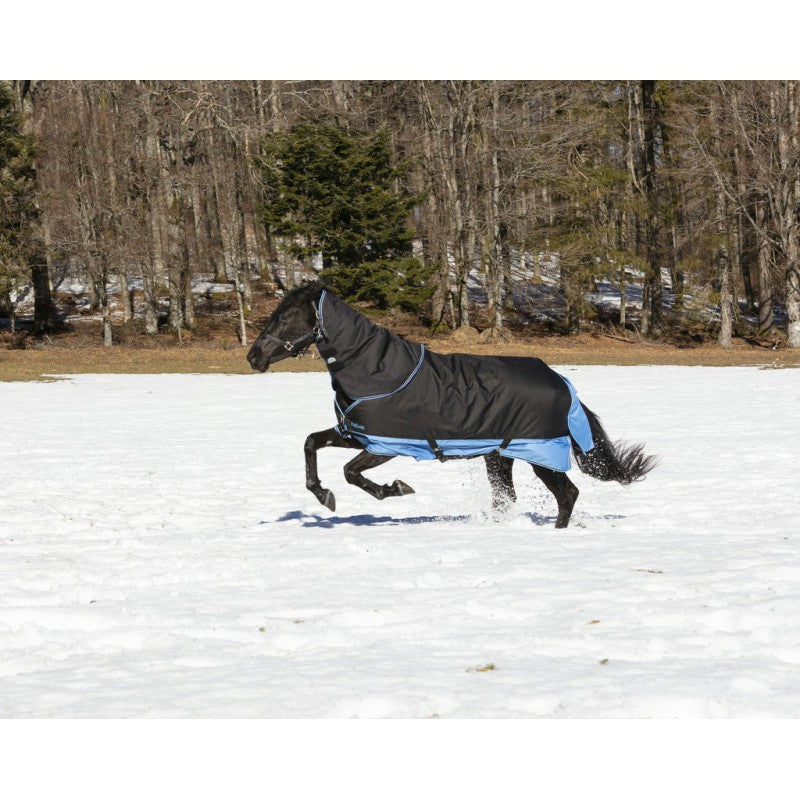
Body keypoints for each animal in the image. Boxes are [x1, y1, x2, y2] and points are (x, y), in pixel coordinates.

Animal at [247, 282, 655, 527]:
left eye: (285, 317)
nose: (253, 356)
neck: (376, 369)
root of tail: (563, 383)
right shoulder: (356, 434)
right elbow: (311, 443)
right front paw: (323, 496)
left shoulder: (387, 445)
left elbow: (351, 473)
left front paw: (395, 489)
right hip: (500, 455)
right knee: (507, 497)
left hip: (541, 455)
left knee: (567, 495)